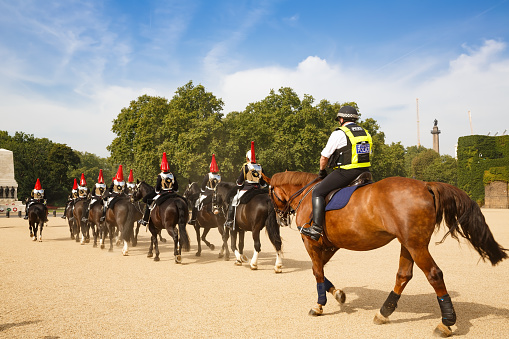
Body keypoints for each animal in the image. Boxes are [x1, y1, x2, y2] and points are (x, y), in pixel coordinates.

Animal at [264, 173, 506, 338]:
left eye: (269, 193)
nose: (279, 217)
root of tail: (425, 185)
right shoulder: (331, 245)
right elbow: (321, 272)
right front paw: (338, 294)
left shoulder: (312, 242)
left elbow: (317, 272)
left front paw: (319, 304)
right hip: (408, 244)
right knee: (403, 275)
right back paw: (384, 312)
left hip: (416, 245)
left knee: (434, 274)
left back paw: (446, 322)